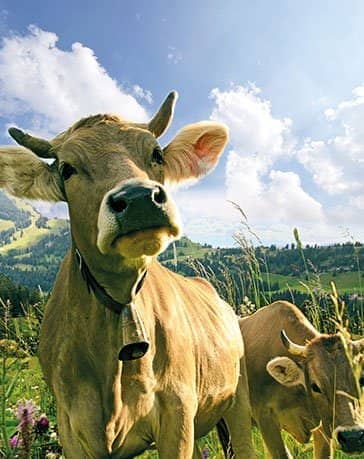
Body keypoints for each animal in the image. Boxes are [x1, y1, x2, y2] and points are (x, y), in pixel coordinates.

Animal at [0, 91, 256, 458]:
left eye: (157, 153)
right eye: (67, 169)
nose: (138, 199)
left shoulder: (178, 412)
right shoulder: (70, 425)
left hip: (238, 400)